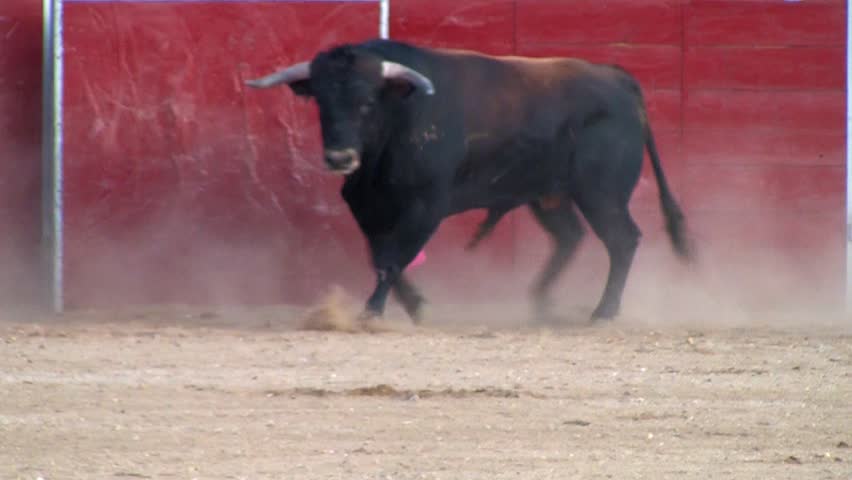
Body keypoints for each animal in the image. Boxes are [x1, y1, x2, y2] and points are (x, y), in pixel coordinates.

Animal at [245, 38, 694, 324]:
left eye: (367, 101)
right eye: (321, 101)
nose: (340, 157)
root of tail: (618, 78)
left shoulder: (426, 205)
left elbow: (393, 258)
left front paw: (374, 310)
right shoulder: (366, 208)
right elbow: (383, 257)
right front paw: (416, 306)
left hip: (602, 193)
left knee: (622, 239)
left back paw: (603, 311)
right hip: (548, 194)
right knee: (570, 237)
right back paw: (540, 301)